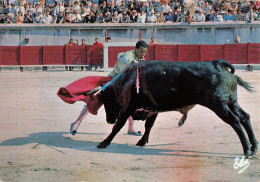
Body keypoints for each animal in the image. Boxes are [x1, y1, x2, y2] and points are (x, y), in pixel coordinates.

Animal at [97, 59, 258, 158]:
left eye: (105, 100)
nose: (108, 120)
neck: (127, 80)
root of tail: (217, 64)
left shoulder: (127, 109)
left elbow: (118, 126)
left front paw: (104, 143)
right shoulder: (153, 109)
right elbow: (149, 125)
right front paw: (142, 141)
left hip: (219, 105)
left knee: (235, 120)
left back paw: (246, 151)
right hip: (231, 102)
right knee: (245, 117)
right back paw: (254, 147)